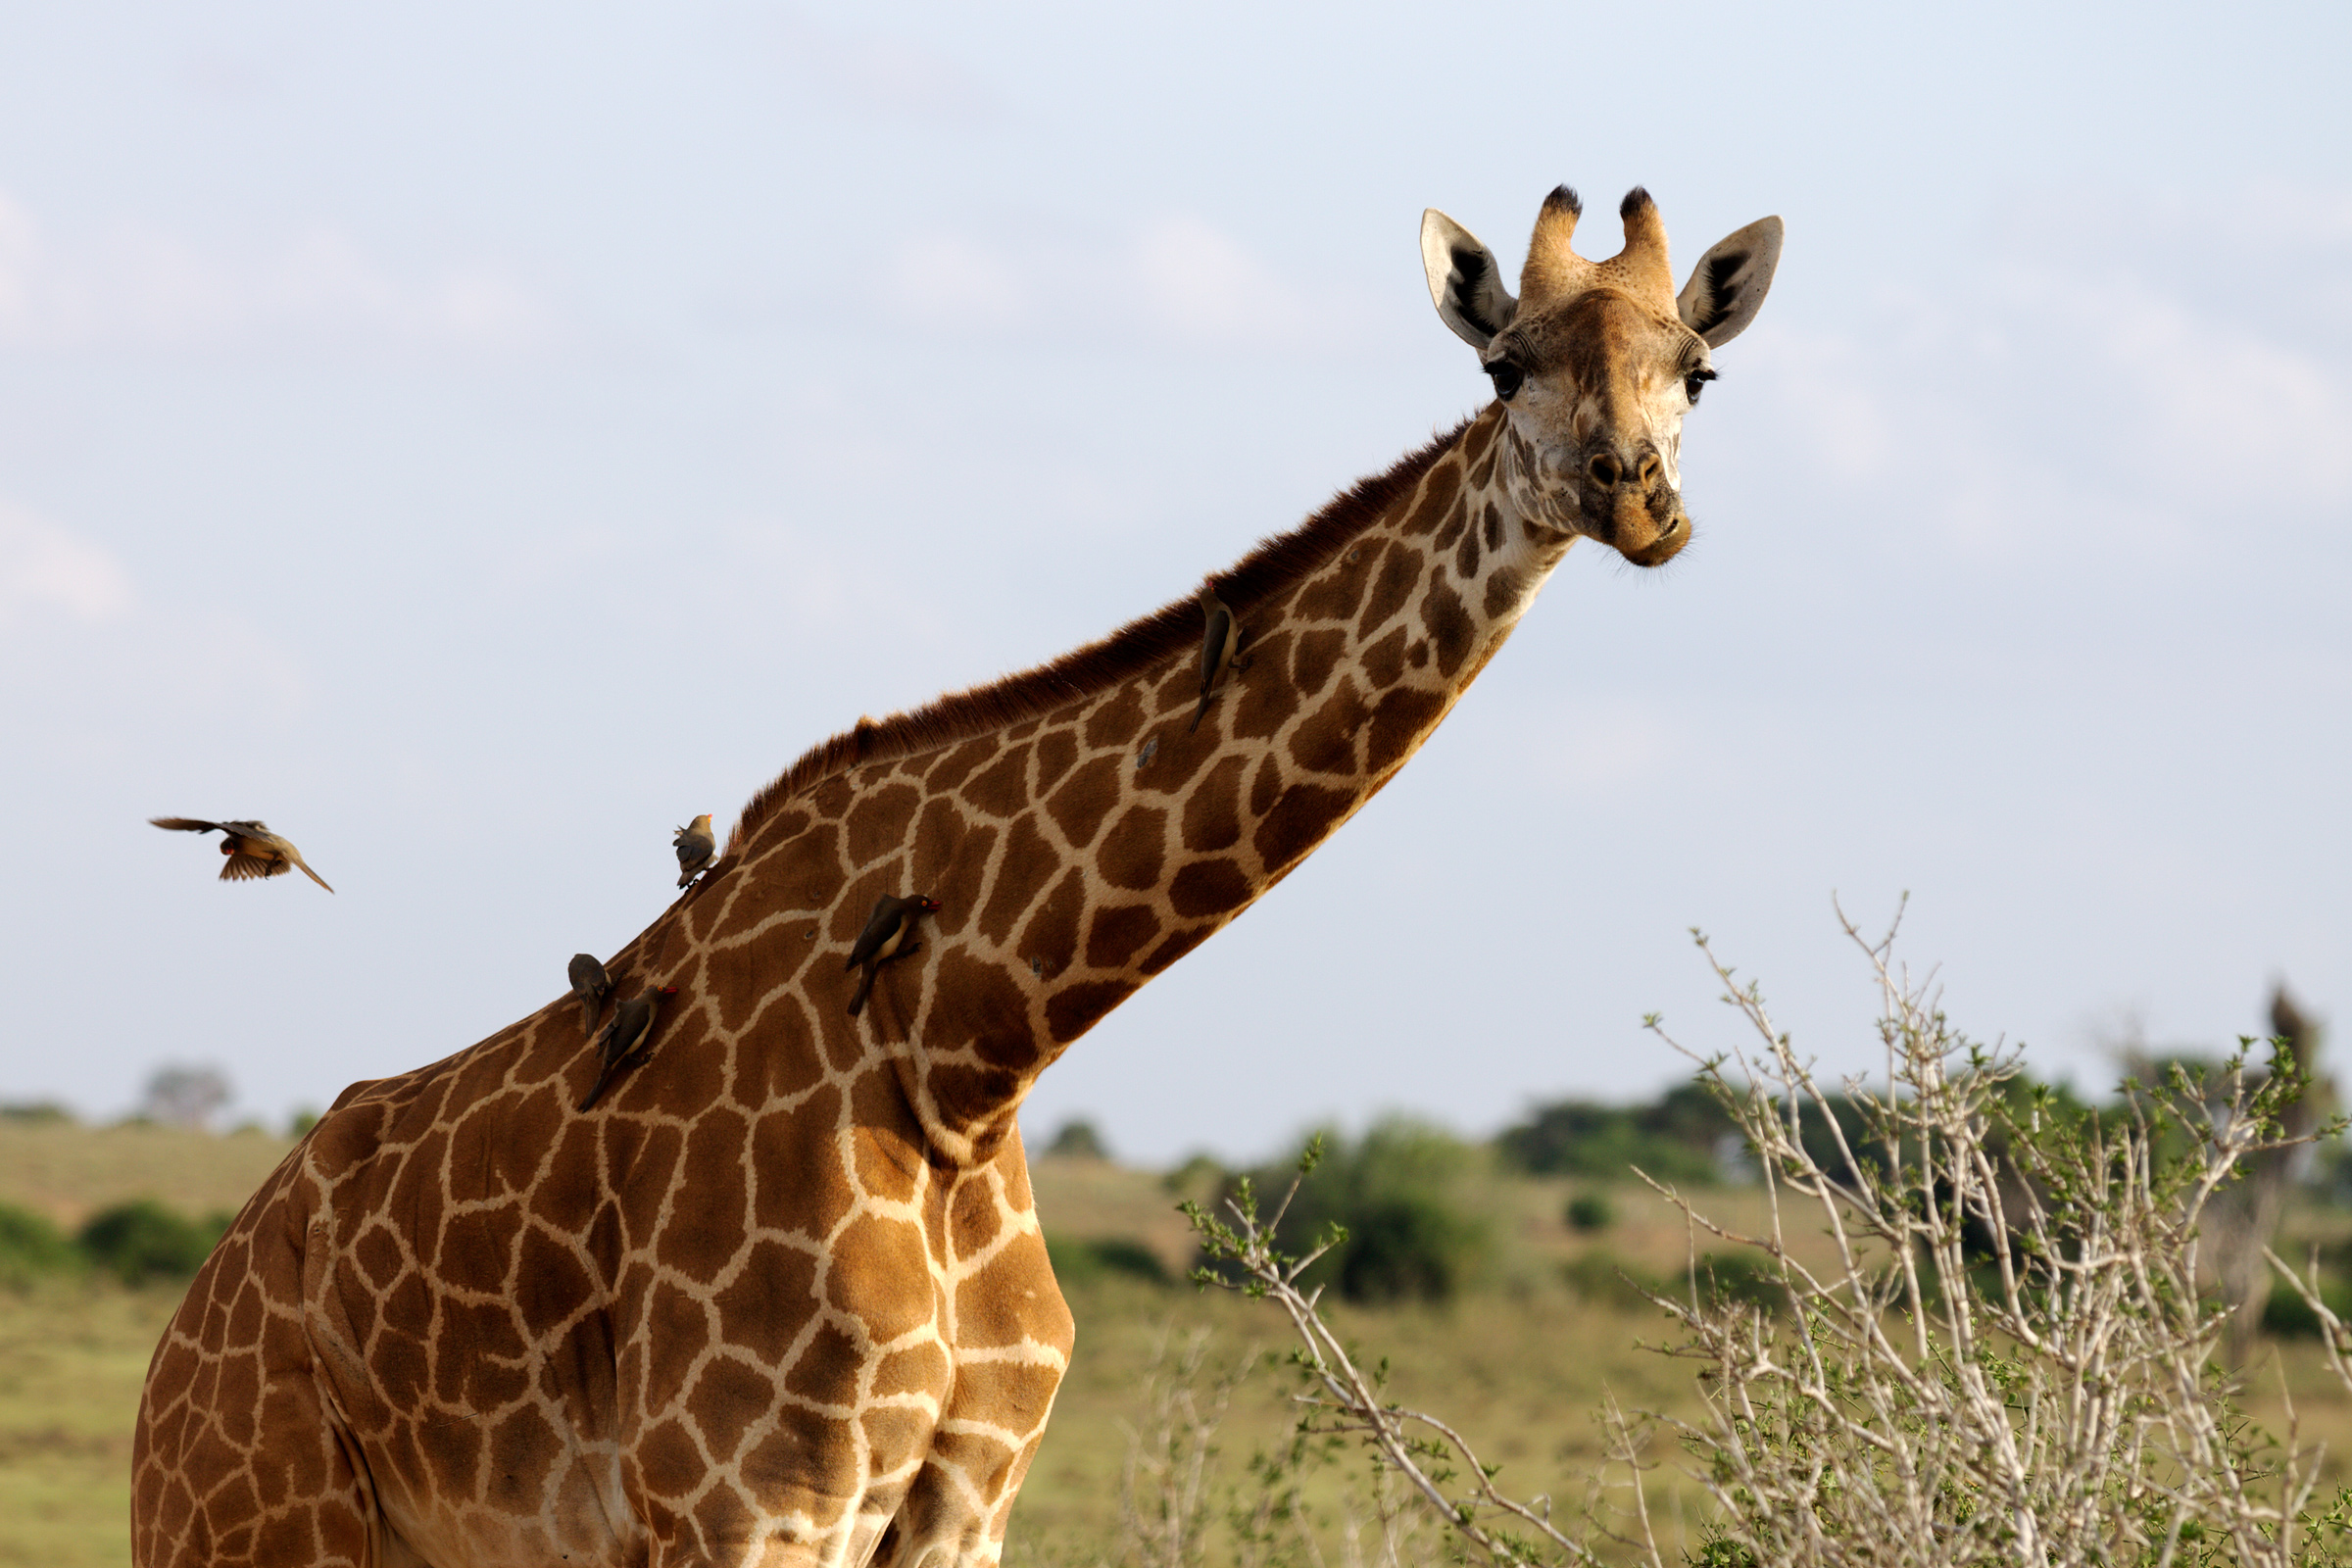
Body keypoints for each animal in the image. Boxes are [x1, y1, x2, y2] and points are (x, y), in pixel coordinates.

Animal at [131, 185, 1781, 1568]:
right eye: (1502, 366)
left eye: (1696, 373)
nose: (1633, 495)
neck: (966, 1049)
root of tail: (177, 1344)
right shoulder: (743, 1508)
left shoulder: (960, 1509)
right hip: (251, 1528)